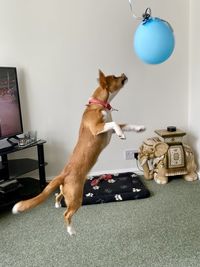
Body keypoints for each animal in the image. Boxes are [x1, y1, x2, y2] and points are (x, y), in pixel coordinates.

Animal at [12, 70, 145, 237]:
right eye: (114, 77)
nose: (123, 73)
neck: (98, 105)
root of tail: (63, 174)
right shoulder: (97, 127)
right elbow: (115, 124)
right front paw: (122, 134)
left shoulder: (109, 129)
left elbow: (125, 124)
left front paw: (139, 128)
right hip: (76, 197)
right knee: (67, 214)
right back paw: (71, 230)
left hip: (67, 192)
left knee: (58, 195)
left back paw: (57, 204)